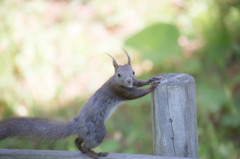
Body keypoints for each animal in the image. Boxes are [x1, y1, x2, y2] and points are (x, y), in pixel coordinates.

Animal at [0, 50, 161, 159]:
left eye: (133, 72)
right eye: (118, 74)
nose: (128, 80)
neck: (114, 81)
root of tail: (78, 123)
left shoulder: (131, 84)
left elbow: (138, 83)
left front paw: (150, 80)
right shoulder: (118, 91)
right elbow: (134, 95)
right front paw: (150, 88)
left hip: (89, 132)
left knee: (77, 140)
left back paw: (84, 150)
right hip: (98, 131)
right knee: (86, 143)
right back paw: (95, 153)